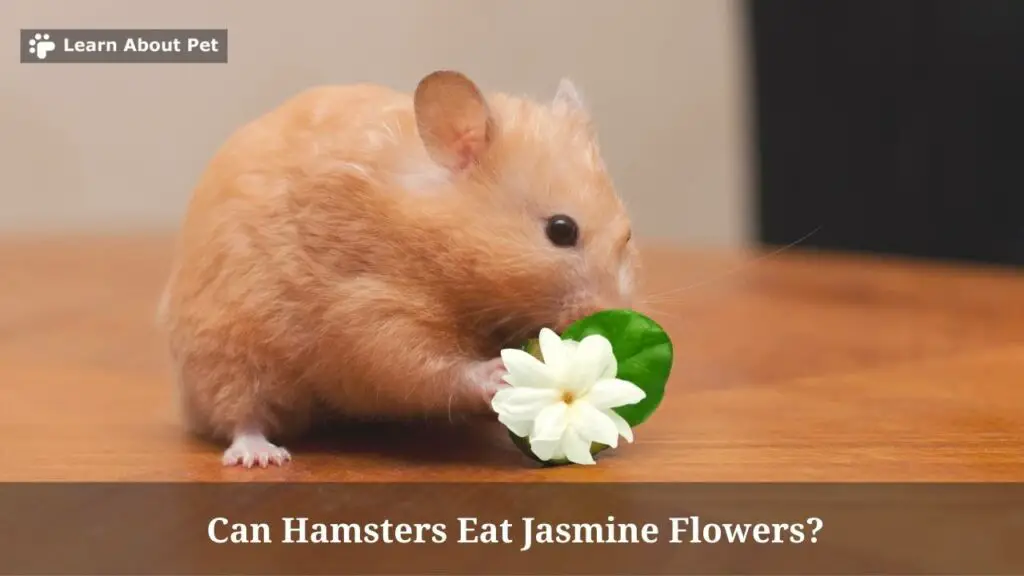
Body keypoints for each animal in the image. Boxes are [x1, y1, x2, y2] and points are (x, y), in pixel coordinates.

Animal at [157, 70, 639, 468]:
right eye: (561, 230)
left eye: (628, 235)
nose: (610, 320)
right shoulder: (369, 307)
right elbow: (419, 364)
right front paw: (500, 373)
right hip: (225, 353)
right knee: (239, 414)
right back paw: (261, 456)